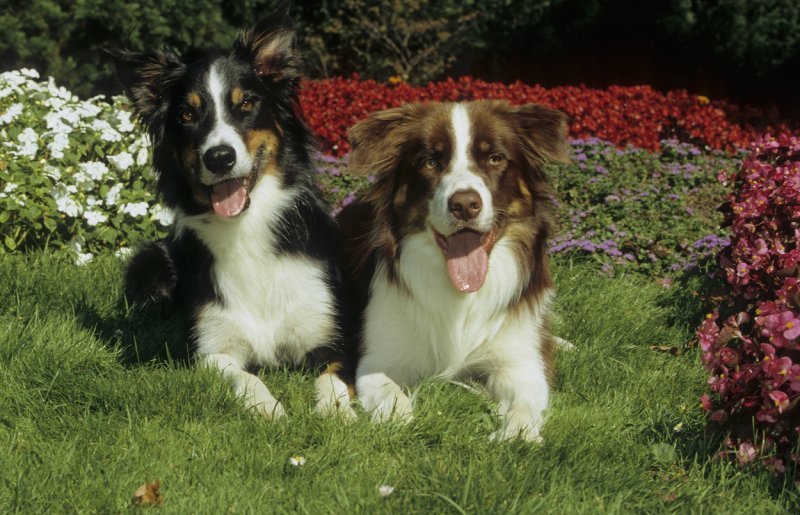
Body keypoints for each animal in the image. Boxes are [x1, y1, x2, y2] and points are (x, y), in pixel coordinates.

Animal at [119, 5, 354, 420]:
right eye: (186, 115)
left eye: (246, 104)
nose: (219, 157)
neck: (246, 226)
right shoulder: (213, 349)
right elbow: (243, 376)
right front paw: (270, 409)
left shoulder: (332, 335)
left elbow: (333, 378)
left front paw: (338, 415)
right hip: (149, 261)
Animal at [338, 101, 568, 444]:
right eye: (430, 162)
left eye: (495, 158)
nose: (465, 205)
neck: (460, 293)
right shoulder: (379, 357)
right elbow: (391, 396)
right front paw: (400, 420)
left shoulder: (521, 364)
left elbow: (525, 405)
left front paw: (516, 434)